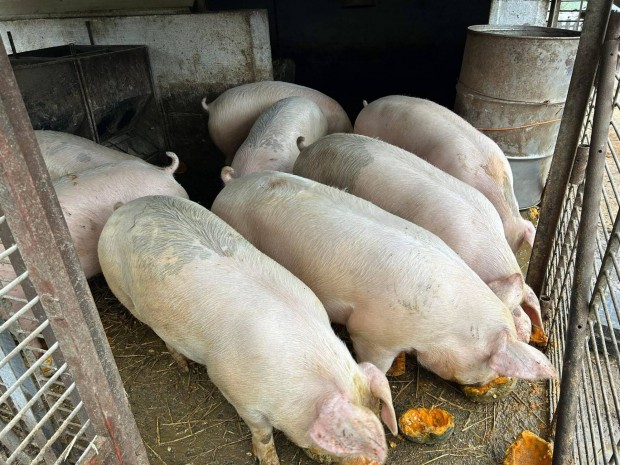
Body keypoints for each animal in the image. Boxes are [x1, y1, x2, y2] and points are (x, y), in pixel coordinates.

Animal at [98, 195, 398, 465]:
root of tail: (123, 208)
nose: (369, 461)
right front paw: (270, 461)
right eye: (343, 436)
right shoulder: (234, 389)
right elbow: (262, 432)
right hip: (120, 288)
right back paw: (183, 367)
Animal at [212, 171, 556, 385]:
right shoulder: (370, 332)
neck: (448, 323)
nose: (485, 380)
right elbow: (376, 361)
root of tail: (230, 188)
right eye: (488, 362)